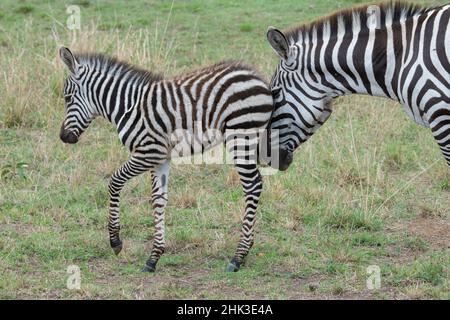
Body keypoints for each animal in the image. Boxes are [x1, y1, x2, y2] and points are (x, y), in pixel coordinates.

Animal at [57, 47, 274, 272]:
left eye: (68, 98)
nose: (63, 137)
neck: (127, 105)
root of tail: (257, 77)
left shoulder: (148, 152)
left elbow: (115, 181)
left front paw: (115, 240)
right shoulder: (161, 158)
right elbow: (159, 199)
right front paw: (154, 257)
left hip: (240, 136)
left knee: (253, 185)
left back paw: (238, 256)